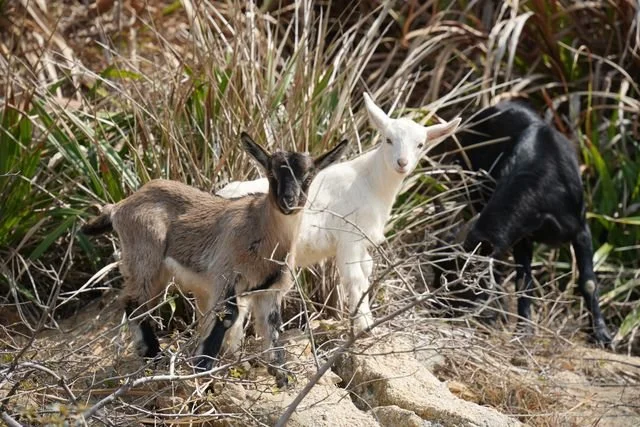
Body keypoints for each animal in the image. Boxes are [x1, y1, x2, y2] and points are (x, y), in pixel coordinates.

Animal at [80, 132, 348, 386]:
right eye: (271, 175)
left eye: (308, 178)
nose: (288, 202)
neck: (263, 230)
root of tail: (120, 206)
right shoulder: (225, 274)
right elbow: (227, 316)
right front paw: (202, 369)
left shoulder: (268, 290)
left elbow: (271, 327)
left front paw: (283, 378)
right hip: (146, 257)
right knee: (134, 302)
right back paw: (155, 357)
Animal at [217, 94, 461, 332]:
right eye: (388, 139)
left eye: (420, 144)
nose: (402, 163)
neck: (370, 181)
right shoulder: (349, 238)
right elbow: (354, 278)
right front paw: (364, 327)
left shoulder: (361, 241)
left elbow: (366, 271)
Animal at [432, 100, 612, 345]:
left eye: (457, 278)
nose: (437, 308)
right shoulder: (521, 236)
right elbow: (523, 283)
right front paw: (523, 330)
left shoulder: (581, 229)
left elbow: (588, 282)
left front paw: (602, 334)